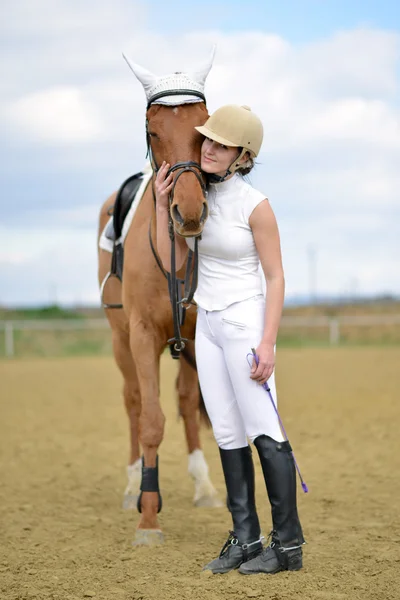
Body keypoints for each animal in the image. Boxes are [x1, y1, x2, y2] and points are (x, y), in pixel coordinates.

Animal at [97, 54, 222, 548]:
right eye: (152, 131)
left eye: (205, 127)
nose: (188, 212)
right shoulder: (142, 335)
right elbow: (150, 419)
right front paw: (147, 517)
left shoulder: (198, 335)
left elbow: (197, 407)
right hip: (119, 341)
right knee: (132, 401)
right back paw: (133, 485)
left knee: (187, 403)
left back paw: (204, 487)